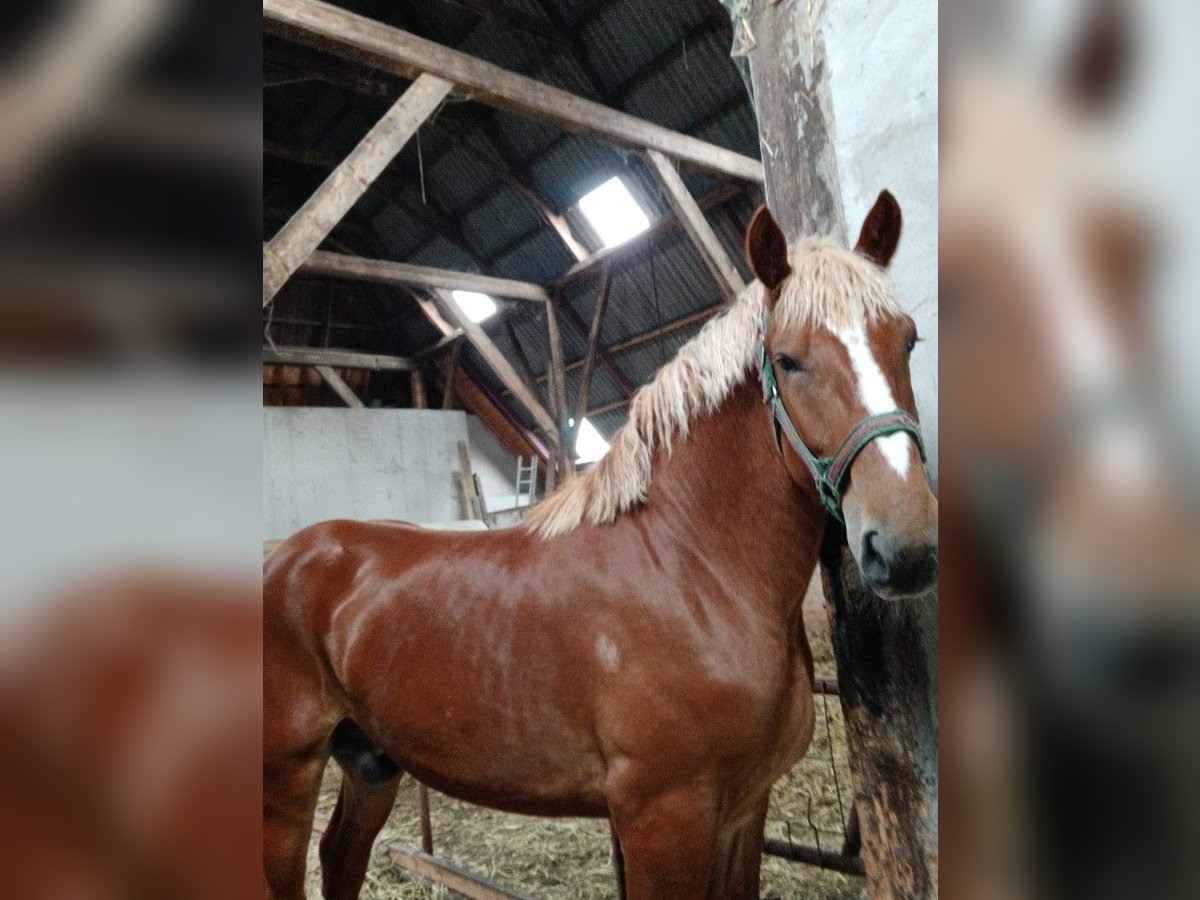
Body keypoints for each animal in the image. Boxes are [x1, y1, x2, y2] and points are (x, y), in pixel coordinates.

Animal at [262, 192, 936, 900]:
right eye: (789, 360)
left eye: (907, 341)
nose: (905, 546)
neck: (693, 570)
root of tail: (284, 558)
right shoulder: (662, 816)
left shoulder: (745, 811)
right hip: (286, 778)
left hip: (370, 762)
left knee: (341, 855)